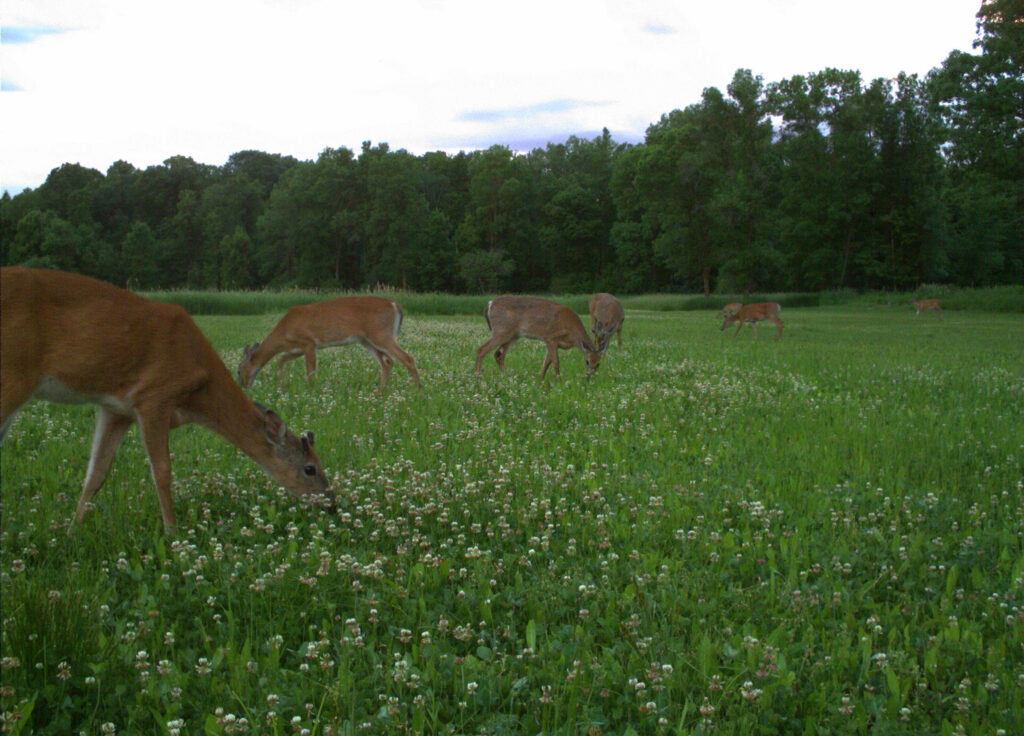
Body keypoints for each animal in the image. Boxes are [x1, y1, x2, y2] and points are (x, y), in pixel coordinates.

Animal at [0, 268, 331, 532]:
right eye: (310, 468)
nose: (331, 502)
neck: (198, 397)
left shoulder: (115, 409)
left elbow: (96, 473)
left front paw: (72, 532)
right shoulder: (153, 396)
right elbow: (162, 471)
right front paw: (172, 532)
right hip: (13, 377)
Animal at [236, 296, 419, 395]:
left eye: (238, 370)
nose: (242, 386)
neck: (284, 333)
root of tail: (395, 305)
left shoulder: (309, 342)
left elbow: (310, 372)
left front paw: (312, 393)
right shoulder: (297, 349)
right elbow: (280, 360)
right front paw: (281, 387)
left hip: (380, 334)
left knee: (407, 358)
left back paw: (420, 391)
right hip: (366, 340)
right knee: (387, 362)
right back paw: (380, 393)